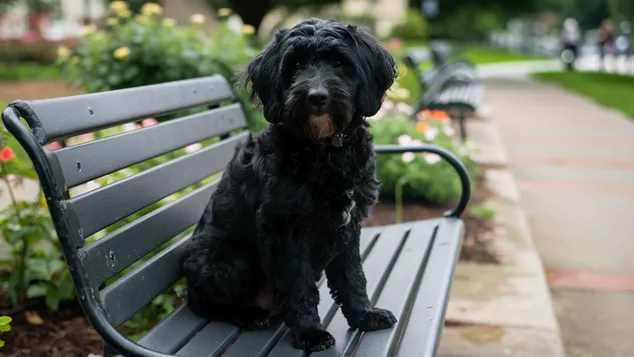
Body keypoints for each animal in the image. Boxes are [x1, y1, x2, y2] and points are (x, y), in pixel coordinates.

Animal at [181, 18, 396, 350]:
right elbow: (301, 286)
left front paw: (364, 315)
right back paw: (249, 315)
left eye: (339, 62)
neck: (325, 150)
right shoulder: (287, 231)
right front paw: (310, 333)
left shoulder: (349, 226)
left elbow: (352, 276)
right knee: (206, 304)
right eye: (294, 65)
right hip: (229, 257)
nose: (316, 97)